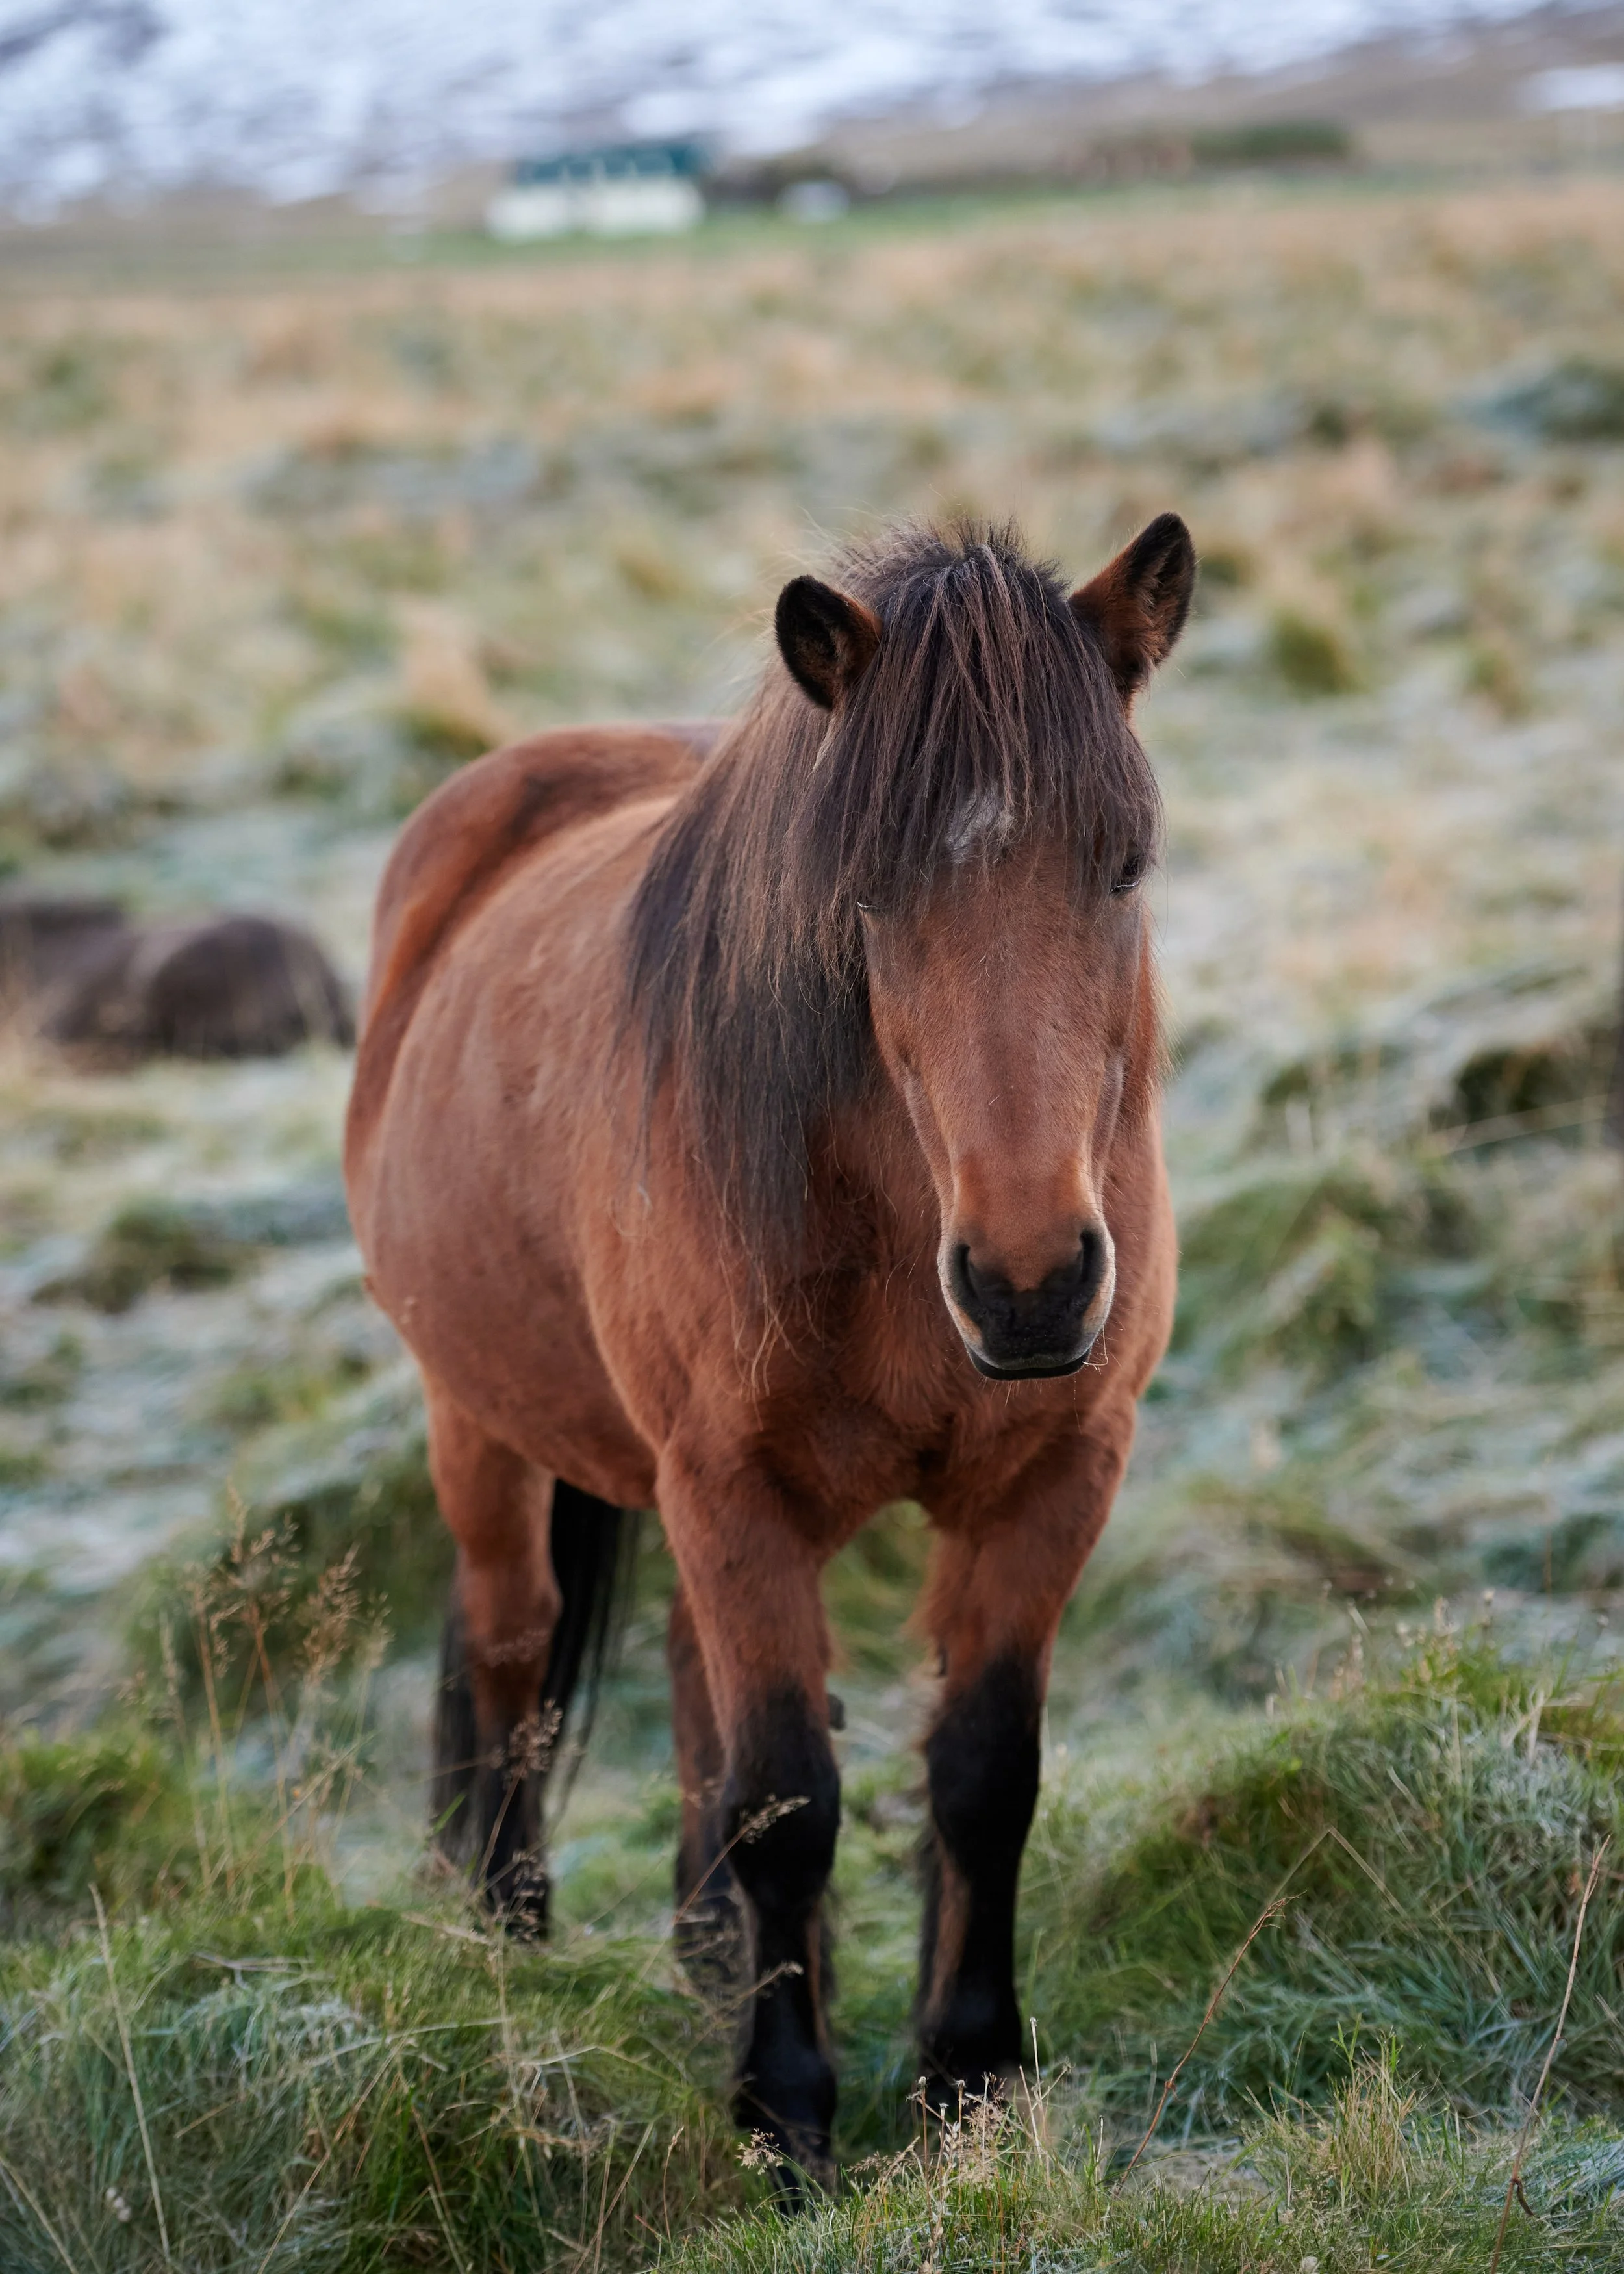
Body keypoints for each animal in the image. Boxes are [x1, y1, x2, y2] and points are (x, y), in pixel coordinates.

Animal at [343, 513, 1193, 2186]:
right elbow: (790, 1797)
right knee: (510, 1642)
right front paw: (786, 2116)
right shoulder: (727, 1484)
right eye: (865, 889)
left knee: (682, 1676)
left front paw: (968, 2076)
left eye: (1124, 862)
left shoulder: (1057, 1474)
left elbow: (981, 1775)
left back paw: (704, 1952)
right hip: (481, 1419)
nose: (1028, 1286)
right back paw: (512, 1932)